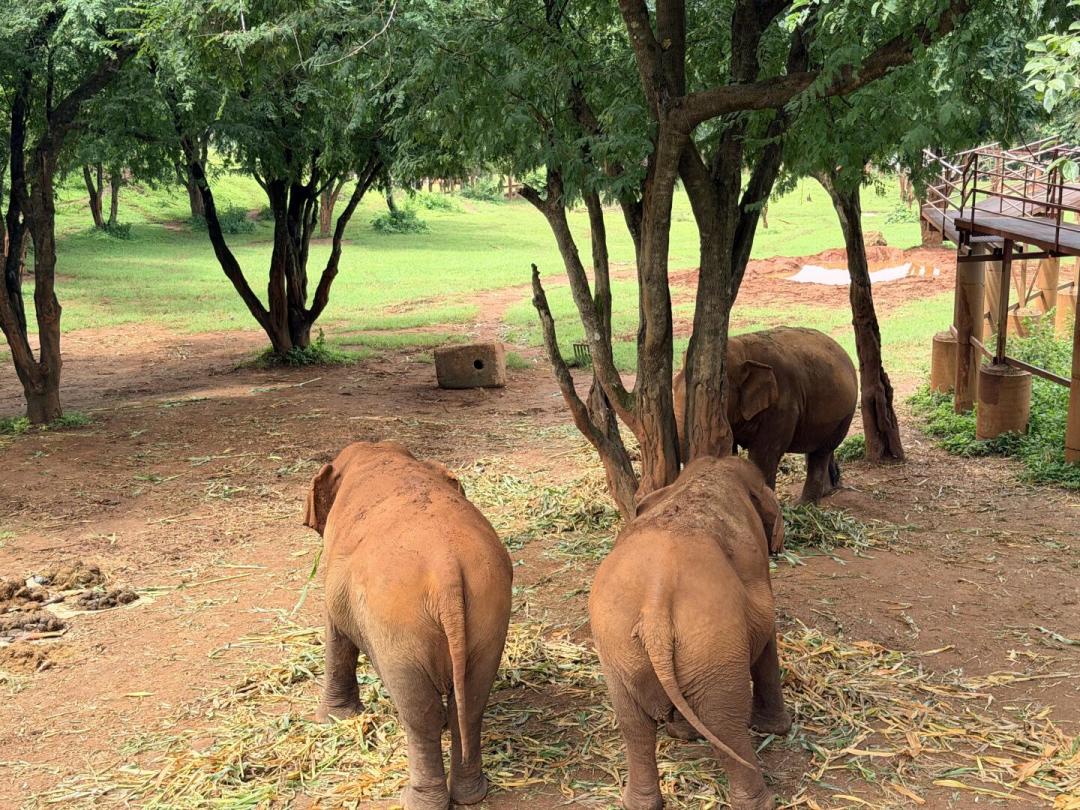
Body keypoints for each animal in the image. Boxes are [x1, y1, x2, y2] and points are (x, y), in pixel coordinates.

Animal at [305, 441, 513, 810]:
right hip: (489, 614)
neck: (376, 453)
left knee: (418, 714)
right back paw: (471, 793)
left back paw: (415, 799)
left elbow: (336, 632)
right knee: (472, 702)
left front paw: (332, 719)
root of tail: (446, 569)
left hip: (399, 631)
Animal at [589, 456, 790, 810]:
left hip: (618, 646)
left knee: (632, 722)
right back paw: (763, 802)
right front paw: (779, 729)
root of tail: (655, 602)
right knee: (724, 723)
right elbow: (767, 638)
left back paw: (640, 802)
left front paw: (682, 734)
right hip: (713, 644)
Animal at [674, 327, 857, 502]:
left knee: (821, 452)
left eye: (716, 395)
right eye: (673, 387)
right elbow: (732, 452)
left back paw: (804, 505)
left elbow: (763, 456)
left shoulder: (783, 404)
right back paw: (826, 491)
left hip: (845, 415)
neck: (742, 348)